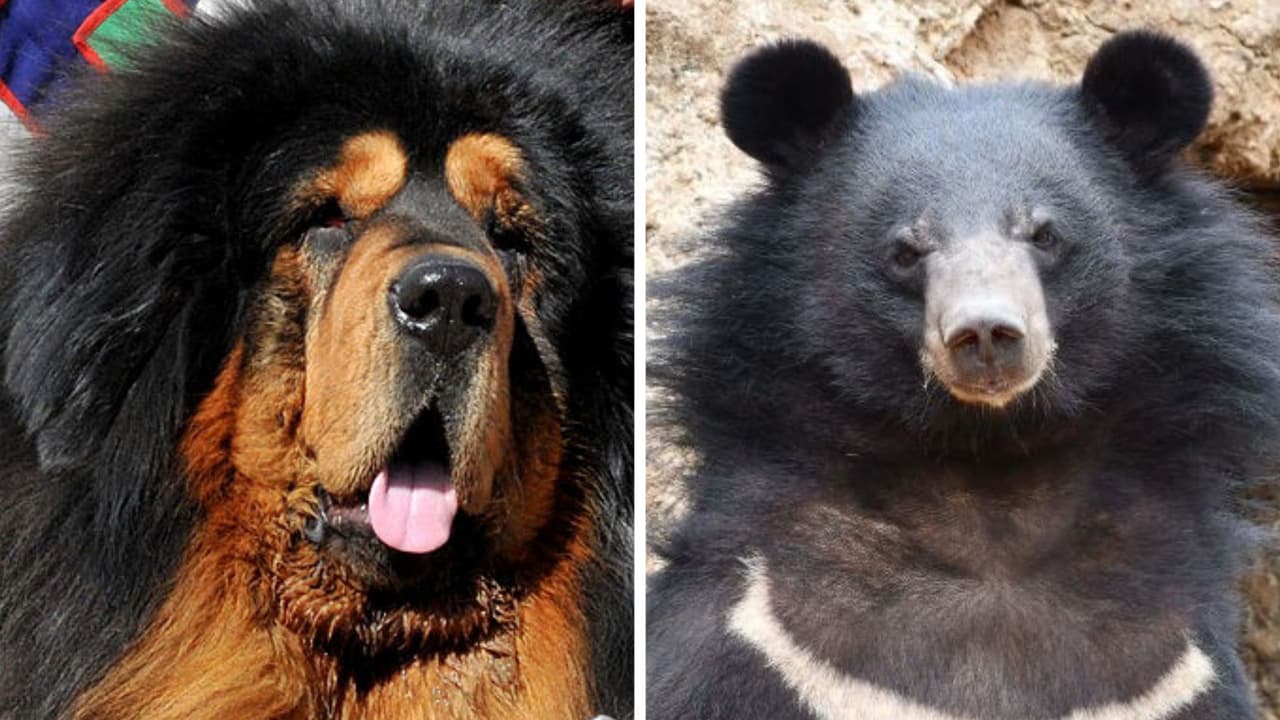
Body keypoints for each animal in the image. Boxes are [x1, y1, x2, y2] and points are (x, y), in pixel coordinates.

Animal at [648, 31, 1280, 719]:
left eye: (1044, 234)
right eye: (904, 250)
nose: (985, 334)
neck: (986, 471)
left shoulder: (1172, 669)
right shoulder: (758, 630)